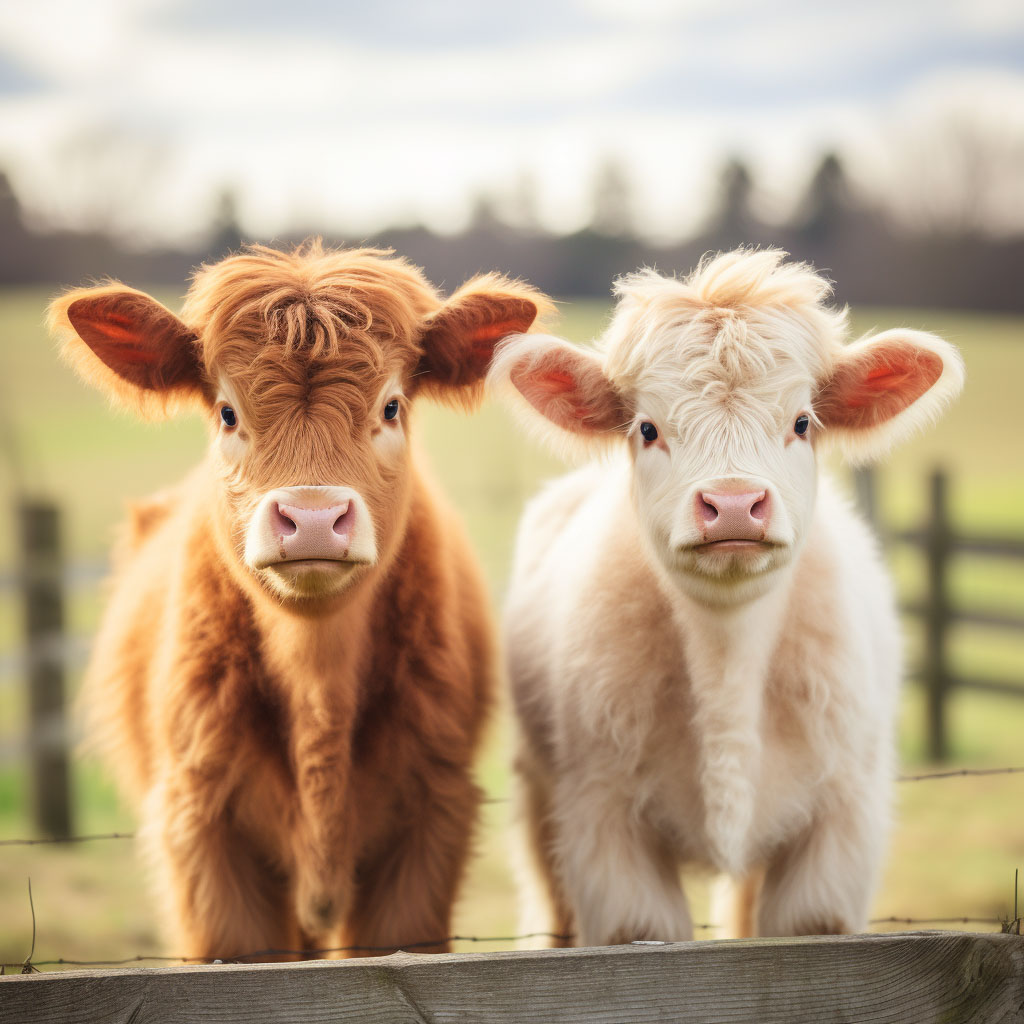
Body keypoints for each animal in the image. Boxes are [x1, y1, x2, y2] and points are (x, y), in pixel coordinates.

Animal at [49, 239, 544, 958]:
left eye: (391, 406)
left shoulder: (430, 821)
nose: (312, 518)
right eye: (227, 411)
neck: (319, 688)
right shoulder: (202, 828)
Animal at [491, 247, 962, 942]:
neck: (727, 667)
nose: (734, 503)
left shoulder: (841, 826)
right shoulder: (604, 824)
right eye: (647, 428)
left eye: (802, 422)